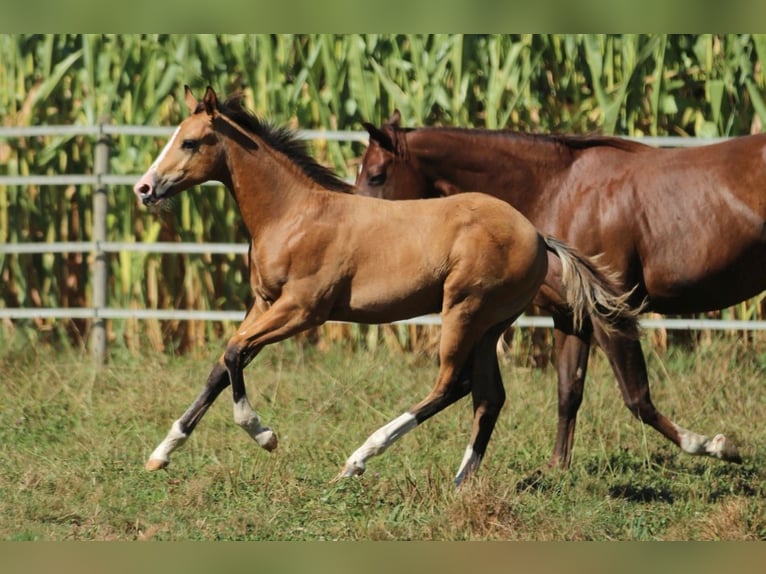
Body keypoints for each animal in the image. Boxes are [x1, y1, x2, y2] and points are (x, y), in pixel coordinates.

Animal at [133, 86, 640, 484]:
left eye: (191, 142)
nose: (145, 188)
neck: (294, 215)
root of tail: (537, 234)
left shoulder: (302, 310)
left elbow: (235, 353)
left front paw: (265, 435)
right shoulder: (263, 304)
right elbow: (221, 365)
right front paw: (161, 452)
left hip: (464, 310)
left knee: (450, 385)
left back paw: (359, 459)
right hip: (490, 324)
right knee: (488, 396)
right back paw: (461, 481)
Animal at [355, 110, 755, 469]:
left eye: (376, 175)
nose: (362, 228)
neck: (559, 189)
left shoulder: (611, 314)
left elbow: (637, 397)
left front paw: (714, 446)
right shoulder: (570, 316)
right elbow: (569, 391)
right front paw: (556, 468)